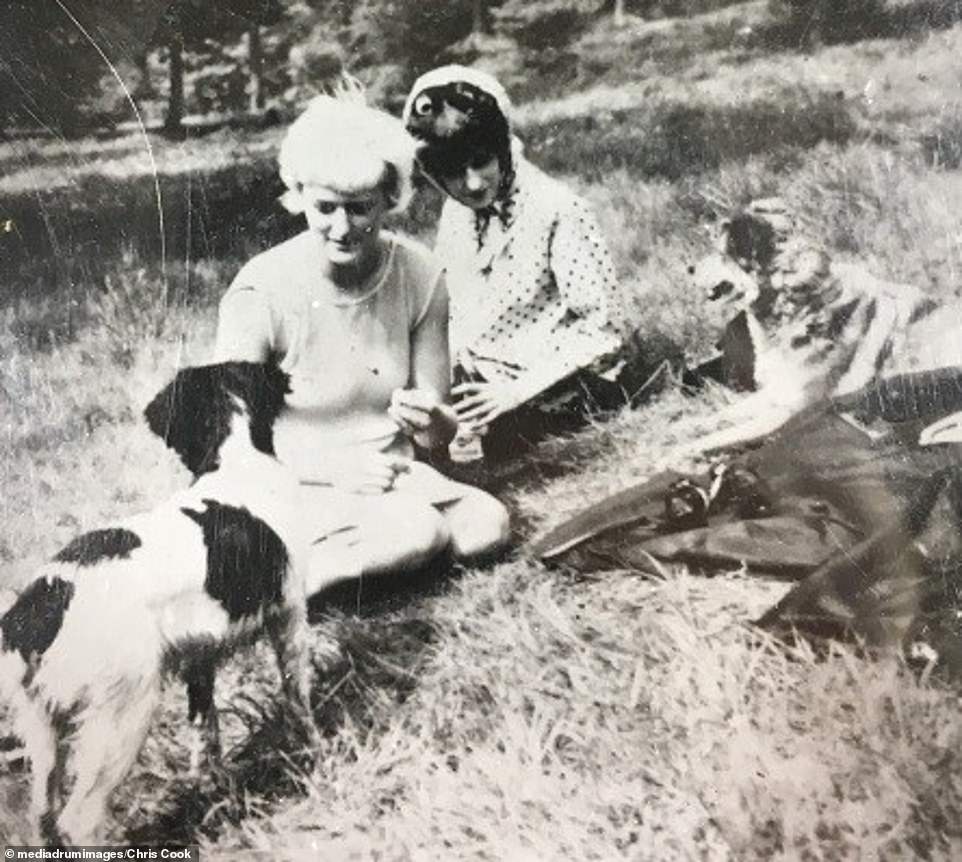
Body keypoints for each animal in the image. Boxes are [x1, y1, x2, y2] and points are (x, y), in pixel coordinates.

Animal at [0, 362, 320, 848]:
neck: (237, 459)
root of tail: (44, 601)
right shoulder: (290, 615)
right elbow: (297, 694)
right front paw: (316, 752)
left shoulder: (199, 656)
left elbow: (206, 732)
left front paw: (217, 792)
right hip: (123, 713)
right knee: (80, 817)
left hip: (43, 730)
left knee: (43, 813)